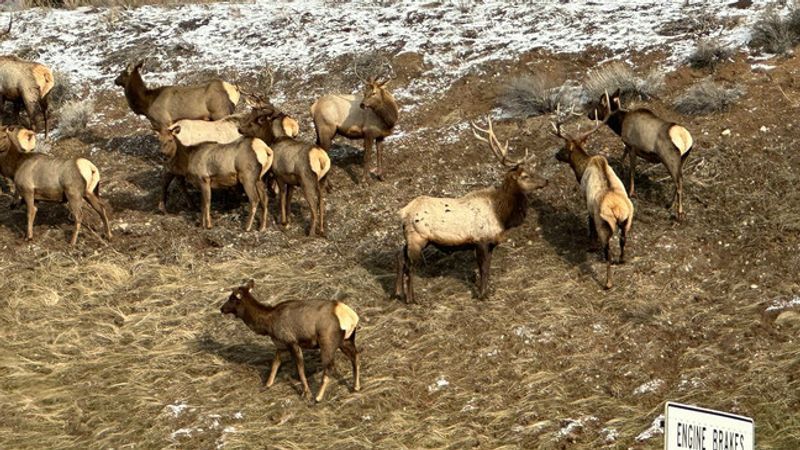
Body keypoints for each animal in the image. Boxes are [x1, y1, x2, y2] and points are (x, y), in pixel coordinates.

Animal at [220, 279, 361, 403]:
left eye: (232, 298)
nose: (221, 308)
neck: (267, 324)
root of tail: (352, 318)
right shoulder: (281, 344)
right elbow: (275, 364)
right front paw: (267, 385)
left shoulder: (292, 342)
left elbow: (300, 370)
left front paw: (306, 393)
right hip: (346, 340)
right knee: (355, 357)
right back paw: (356, 387)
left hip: (327, 342)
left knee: (329, 367)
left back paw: (318, 397)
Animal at [394, 117, 547, 303]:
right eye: (525, 176)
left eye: (533, 170)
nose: (546, 181)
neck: (501, 215)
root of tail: (403, 213)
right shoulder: (480, 240)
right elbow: (483, 268)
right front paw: (481, 295)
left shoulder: (490, 242)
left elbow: (487, 268)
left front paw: (487, 291)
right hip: (418, 237)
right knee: (410, 265)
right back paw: (412, 299)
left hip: (411, 238)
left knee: (400, 256)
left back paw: (398, 293)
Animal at [554, 98, 634, 289]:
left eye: (564, 148)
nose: (556, 155)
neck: (582, 169)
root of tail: (617, 210)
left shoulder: (587, 201)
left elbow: (589, 224)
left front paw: (591, 245)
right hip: (628, 220)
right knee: (623, 240)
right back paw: (622, 260)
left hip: (604, 224)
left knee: (608, 253)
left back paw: (608, 282)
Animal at [588, 88, 693, 220]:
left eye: (599, 105)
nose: (589, 115)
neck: (620, 124)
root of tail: (686, 140)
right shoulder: (628, 145)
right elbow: (623, 155)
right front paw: (619, 168)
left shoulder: (633, 147)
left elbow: (632, 170)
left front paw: (631, 192)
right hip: (683, 159)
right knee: (679, 180)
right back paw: (669, 204)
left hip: (670, 159)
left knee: (679, 183)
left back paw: (679, 212)